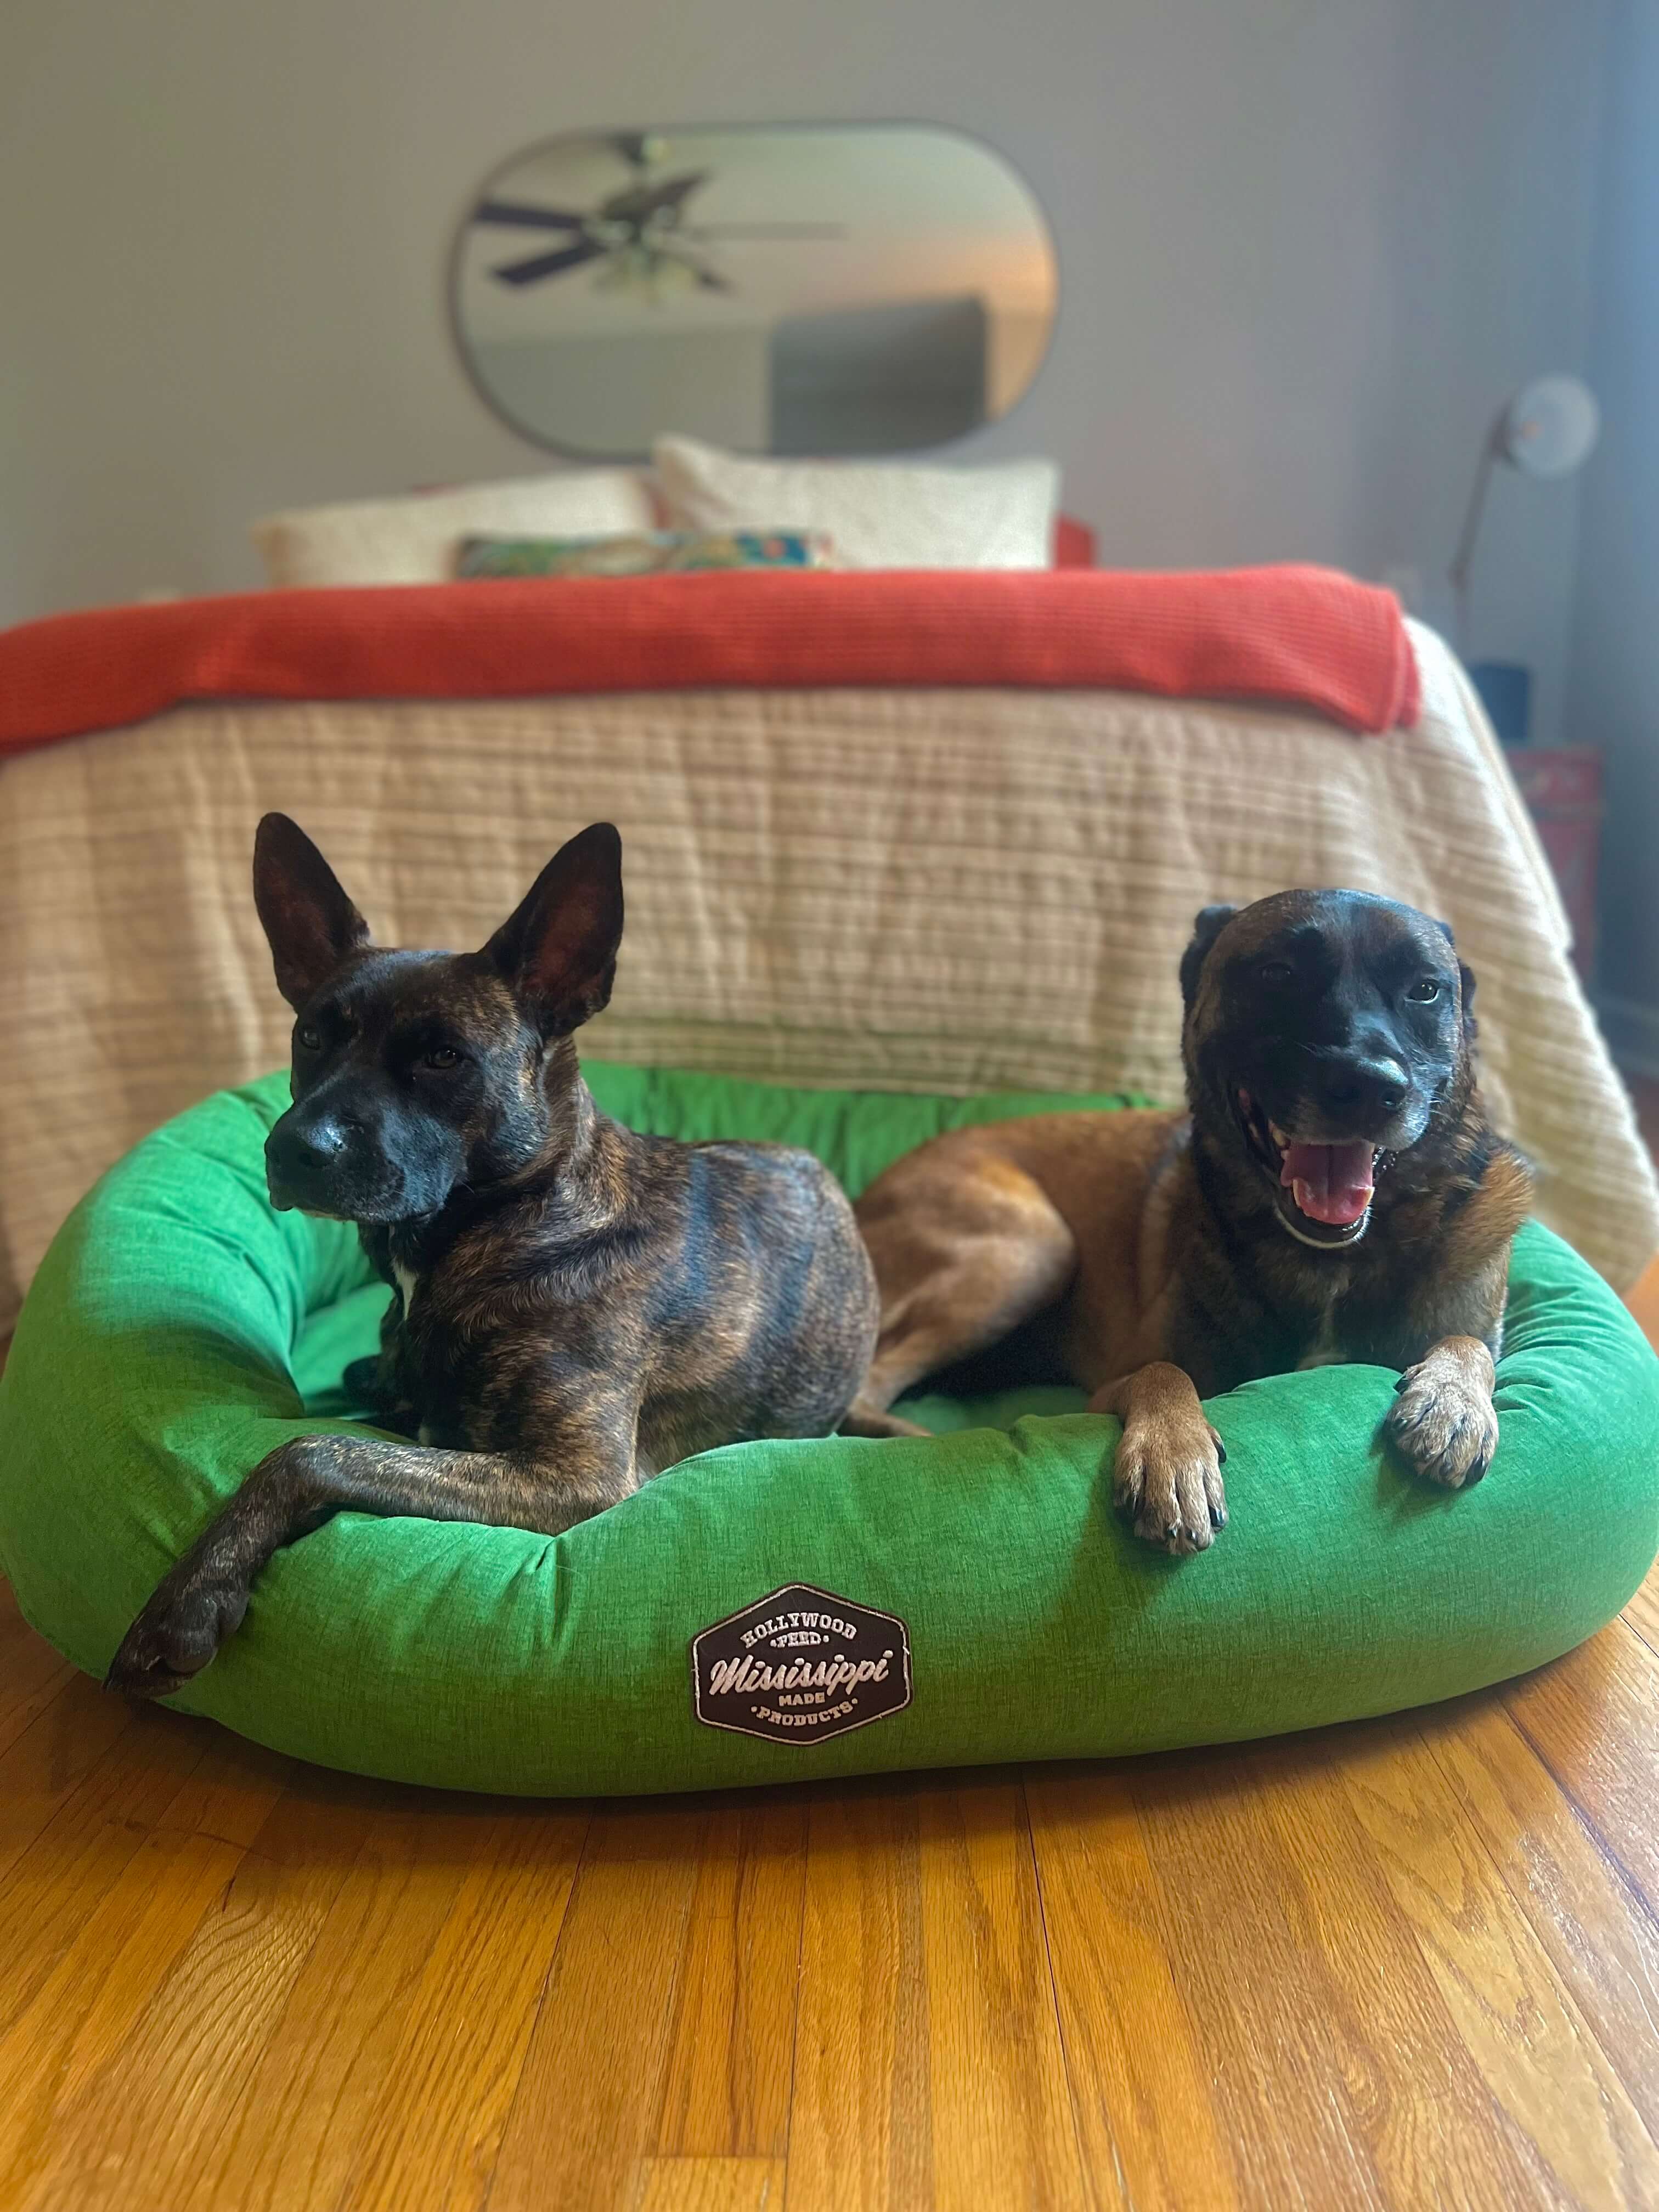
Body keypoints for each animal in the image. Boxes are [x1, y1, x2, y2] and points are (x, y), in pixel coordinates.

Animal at [849, 889, 1539, 1548]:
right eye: (1278, 973)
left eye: (1425, 990)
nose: (1370, 1087)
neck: (1330, 1257)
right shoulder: (1111, 1385)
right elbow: (1162, 1370)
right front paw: (1173, 1455)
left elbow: (1470, 1342)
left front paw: (1453, 1397)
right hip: (1031, 1250)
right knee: (863, 1390)